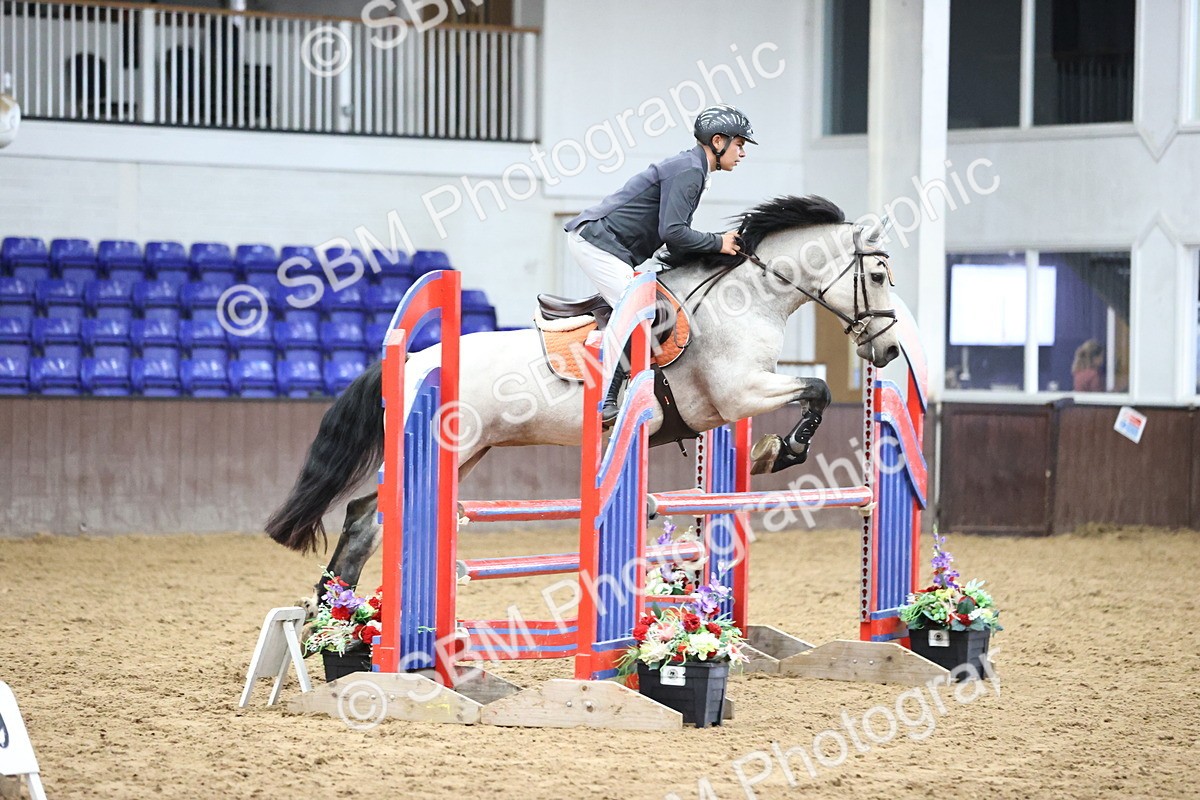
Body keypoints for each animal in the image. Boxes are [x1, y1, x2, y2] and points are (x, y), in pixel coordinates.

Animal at [265, 195, 902, 591]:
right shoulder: (739, 394)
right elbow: (818, 388)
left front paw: (772, 452)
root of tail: (414, 360)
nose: (891, 351)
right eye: (876, 276)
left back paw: (334, 615)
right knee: (374, 514)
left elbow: (812, 391)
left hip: (468, 454)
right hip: (448, 447)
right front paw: (781, 450)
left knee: (365, 516)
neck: (744, 299)